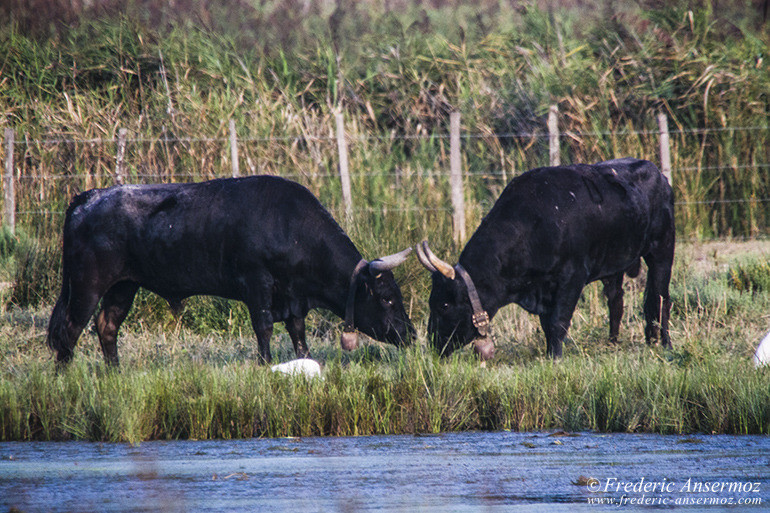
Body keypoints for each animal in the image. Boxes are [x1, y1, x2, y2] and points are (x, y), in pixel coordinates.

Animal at [46, 176, 414, 364]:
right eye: (386, 298)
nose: (410, 333)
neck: (290, 226)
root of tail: (90, 196)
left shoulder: (292, 297)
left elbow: (298, 333)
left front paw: (305, 361)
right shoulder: (257, 284)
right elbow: (264, 328)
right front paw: (266, 365)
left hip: (123, 286)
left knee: (106, 326)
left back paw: (115, 373)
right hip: (86, 285)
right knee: (69, 330)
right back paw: (65, 379)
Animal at [414, 158, 672, 358]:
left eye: (444, 304)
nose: (434, 343)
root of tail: (658, 172)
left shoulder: (572, 277)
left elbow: (558, 322)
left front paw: (555, 357)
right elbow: (547, 325)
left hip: (662, 250)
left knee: (660, 297)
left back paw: (664, 343)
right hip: (615, 266)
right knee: (616, 300)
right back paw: (614, 342)